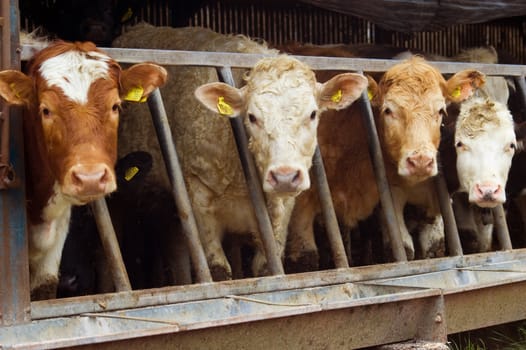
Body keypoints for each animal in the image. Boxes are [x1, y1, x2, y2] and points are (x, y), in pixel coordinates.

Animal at [282, 54, 484, 270]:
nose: (420, 161)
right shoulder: (300, 203)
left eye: (440, 111)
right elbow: (305, 257)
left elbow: (427, 249)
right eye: (388, 110)